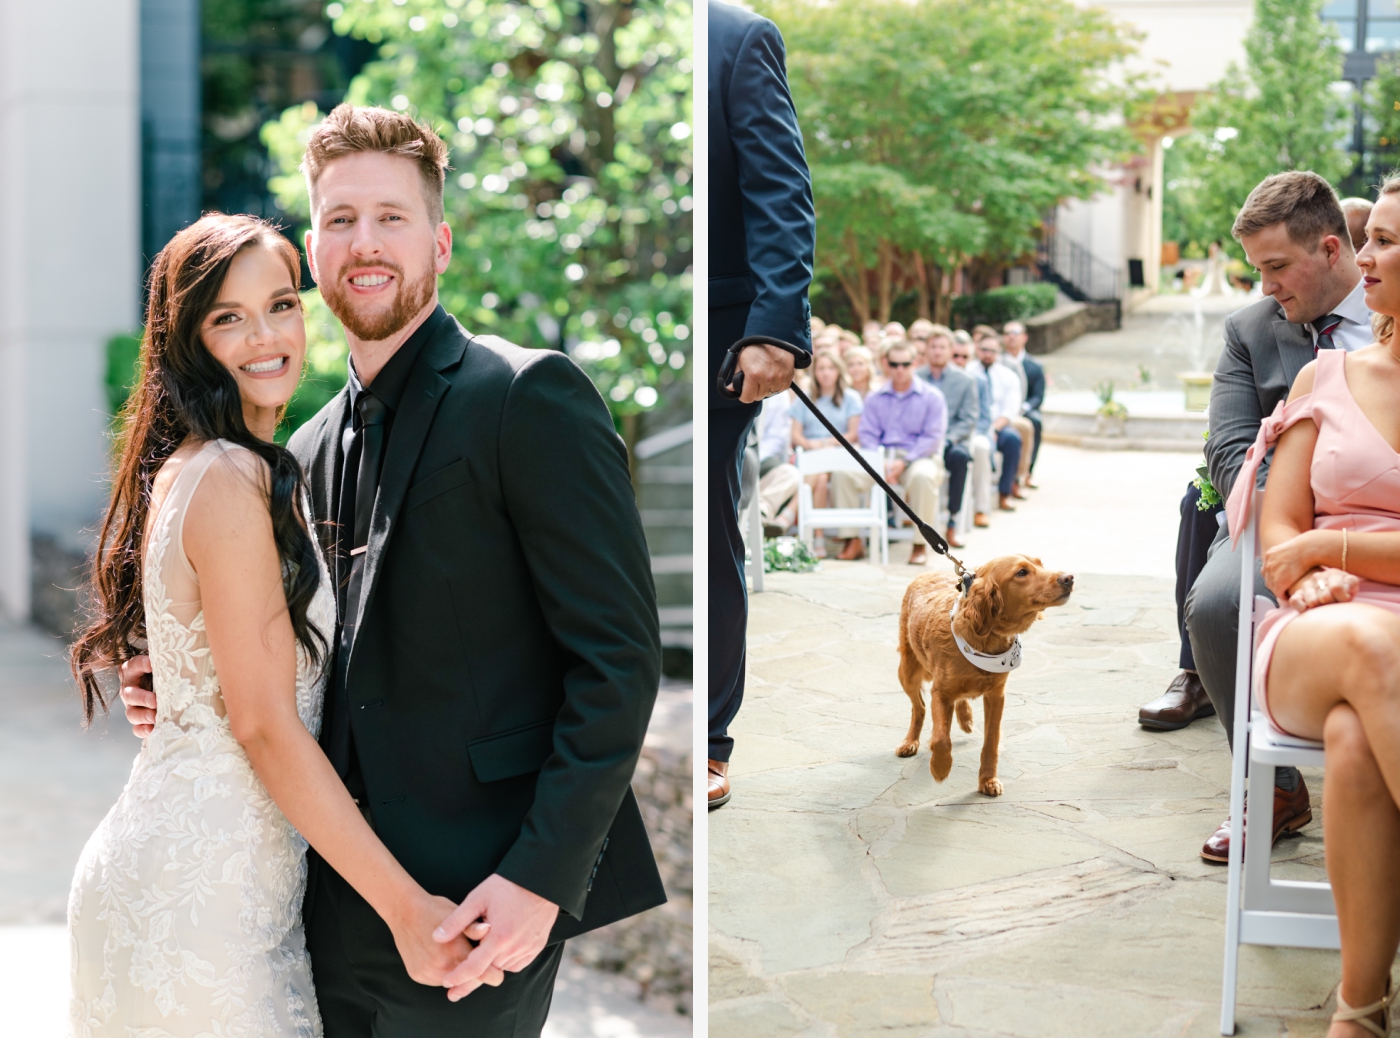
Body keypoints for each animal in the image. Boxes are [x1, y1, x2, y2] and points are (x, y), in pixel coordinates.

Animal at [896, 557, 1069, 795]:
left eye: (1041, 564)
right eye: (1021, 572)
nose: (1069, 578)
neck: (985, 641)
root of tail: (925, 573)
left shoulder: (996, 696)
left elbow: (991, 741)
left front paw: (988, 780)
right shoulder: (940, 692)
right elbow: (941, 738)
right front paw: (940, 768)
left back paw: (966, 717)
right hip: (907, 672)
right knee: (919, 707)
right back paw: (910, 742)